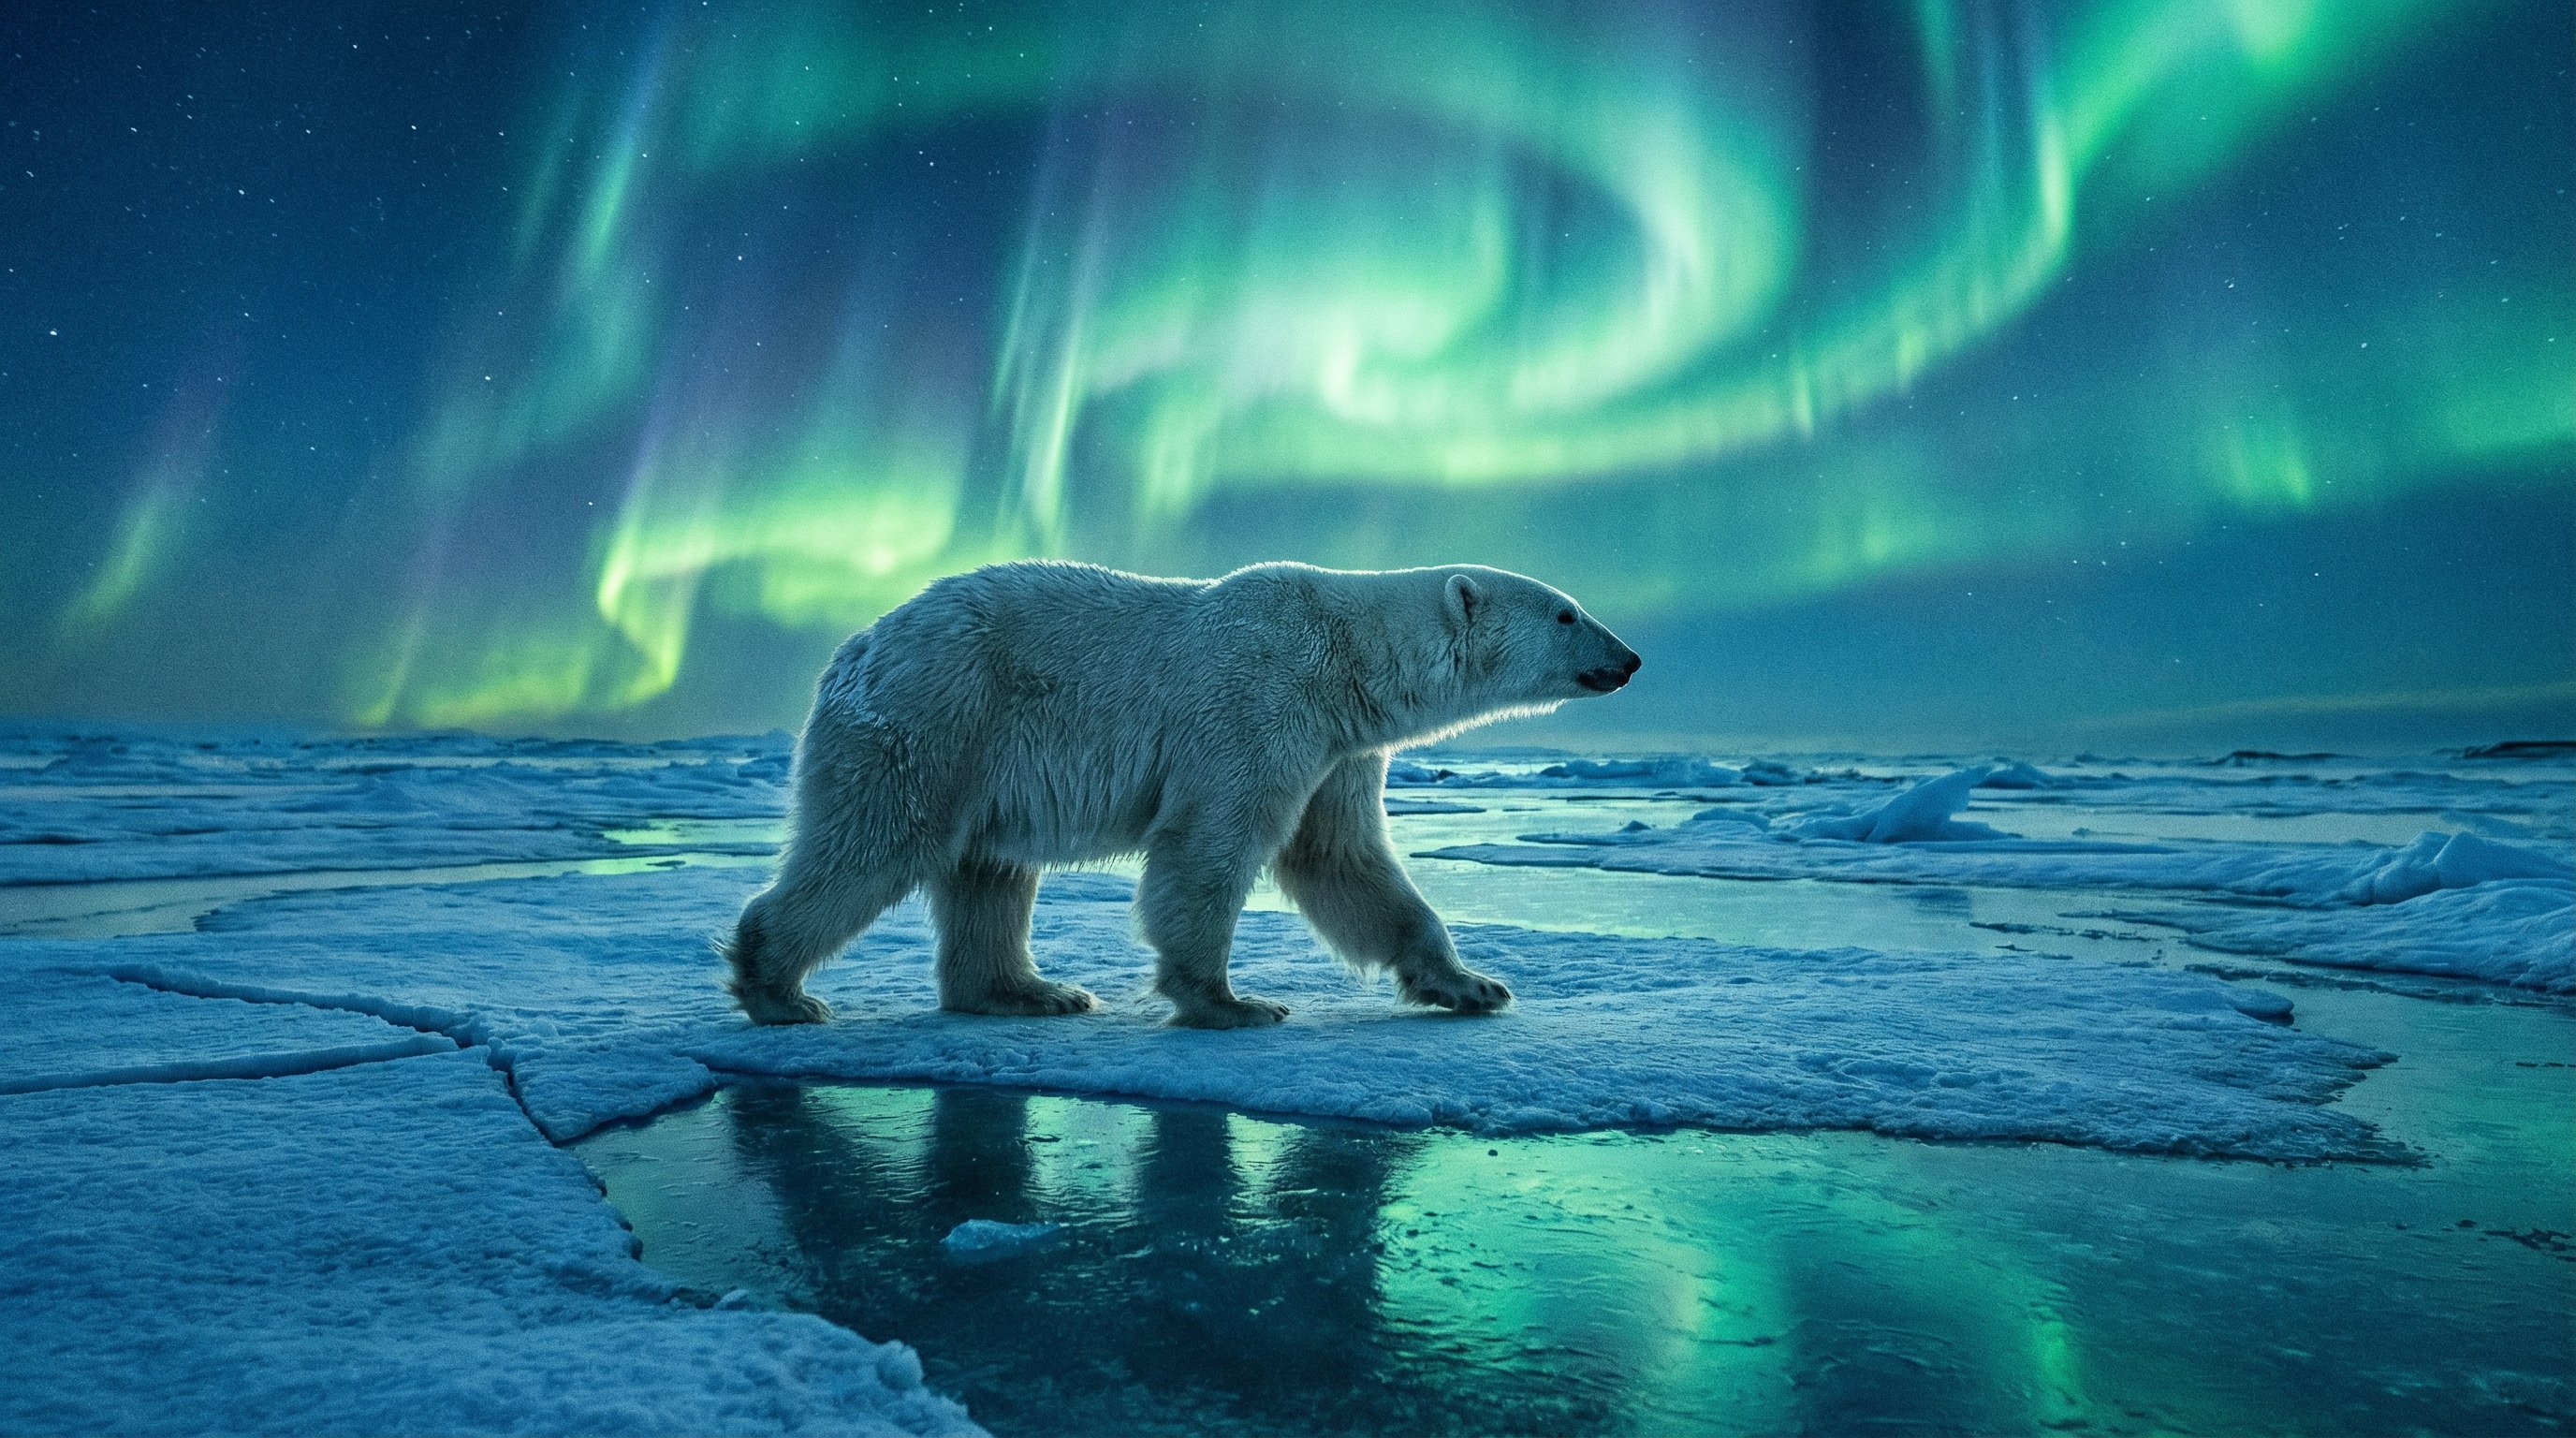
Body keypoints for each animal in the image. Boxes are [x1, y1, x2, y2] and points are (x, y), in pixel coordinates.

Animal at [719, 560, 1641, 1029]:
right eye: (1567, 614)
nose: (1629, 658)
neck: (1348, 655)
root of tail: (854, 650)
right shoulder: (1258, 703)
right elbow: (1211, 844)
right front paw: (1231, 1002)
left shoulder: (1340, 746)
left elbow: (1341, 859)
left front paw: (1471, 985)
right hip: (940, 717)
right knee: (875, 844)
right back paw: (778, 987)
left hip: (981, 754)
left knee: (990, 872)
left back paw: (1031, 992)